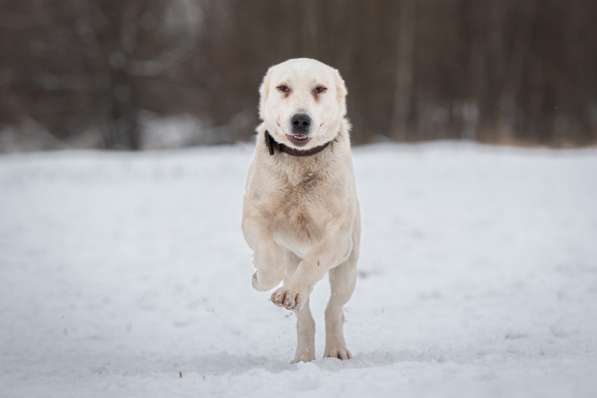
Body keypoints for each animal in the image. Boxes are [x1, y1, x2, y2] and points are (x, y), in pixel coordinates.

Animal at [241, 58, 358, 360]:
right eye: (283, 88)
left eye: (320, 89)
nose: (301, 119)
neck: (300, 163)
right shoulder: (254, 218)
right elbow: (269, 258)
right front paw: (259, 278)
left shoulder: (338, 236)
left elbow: (314, 261)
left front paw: (290, 291)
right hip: (294, 259)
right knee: (304, 316)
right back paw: (303, 356)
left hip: (347, 270)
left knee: (333, 307)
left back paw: (335, 348)